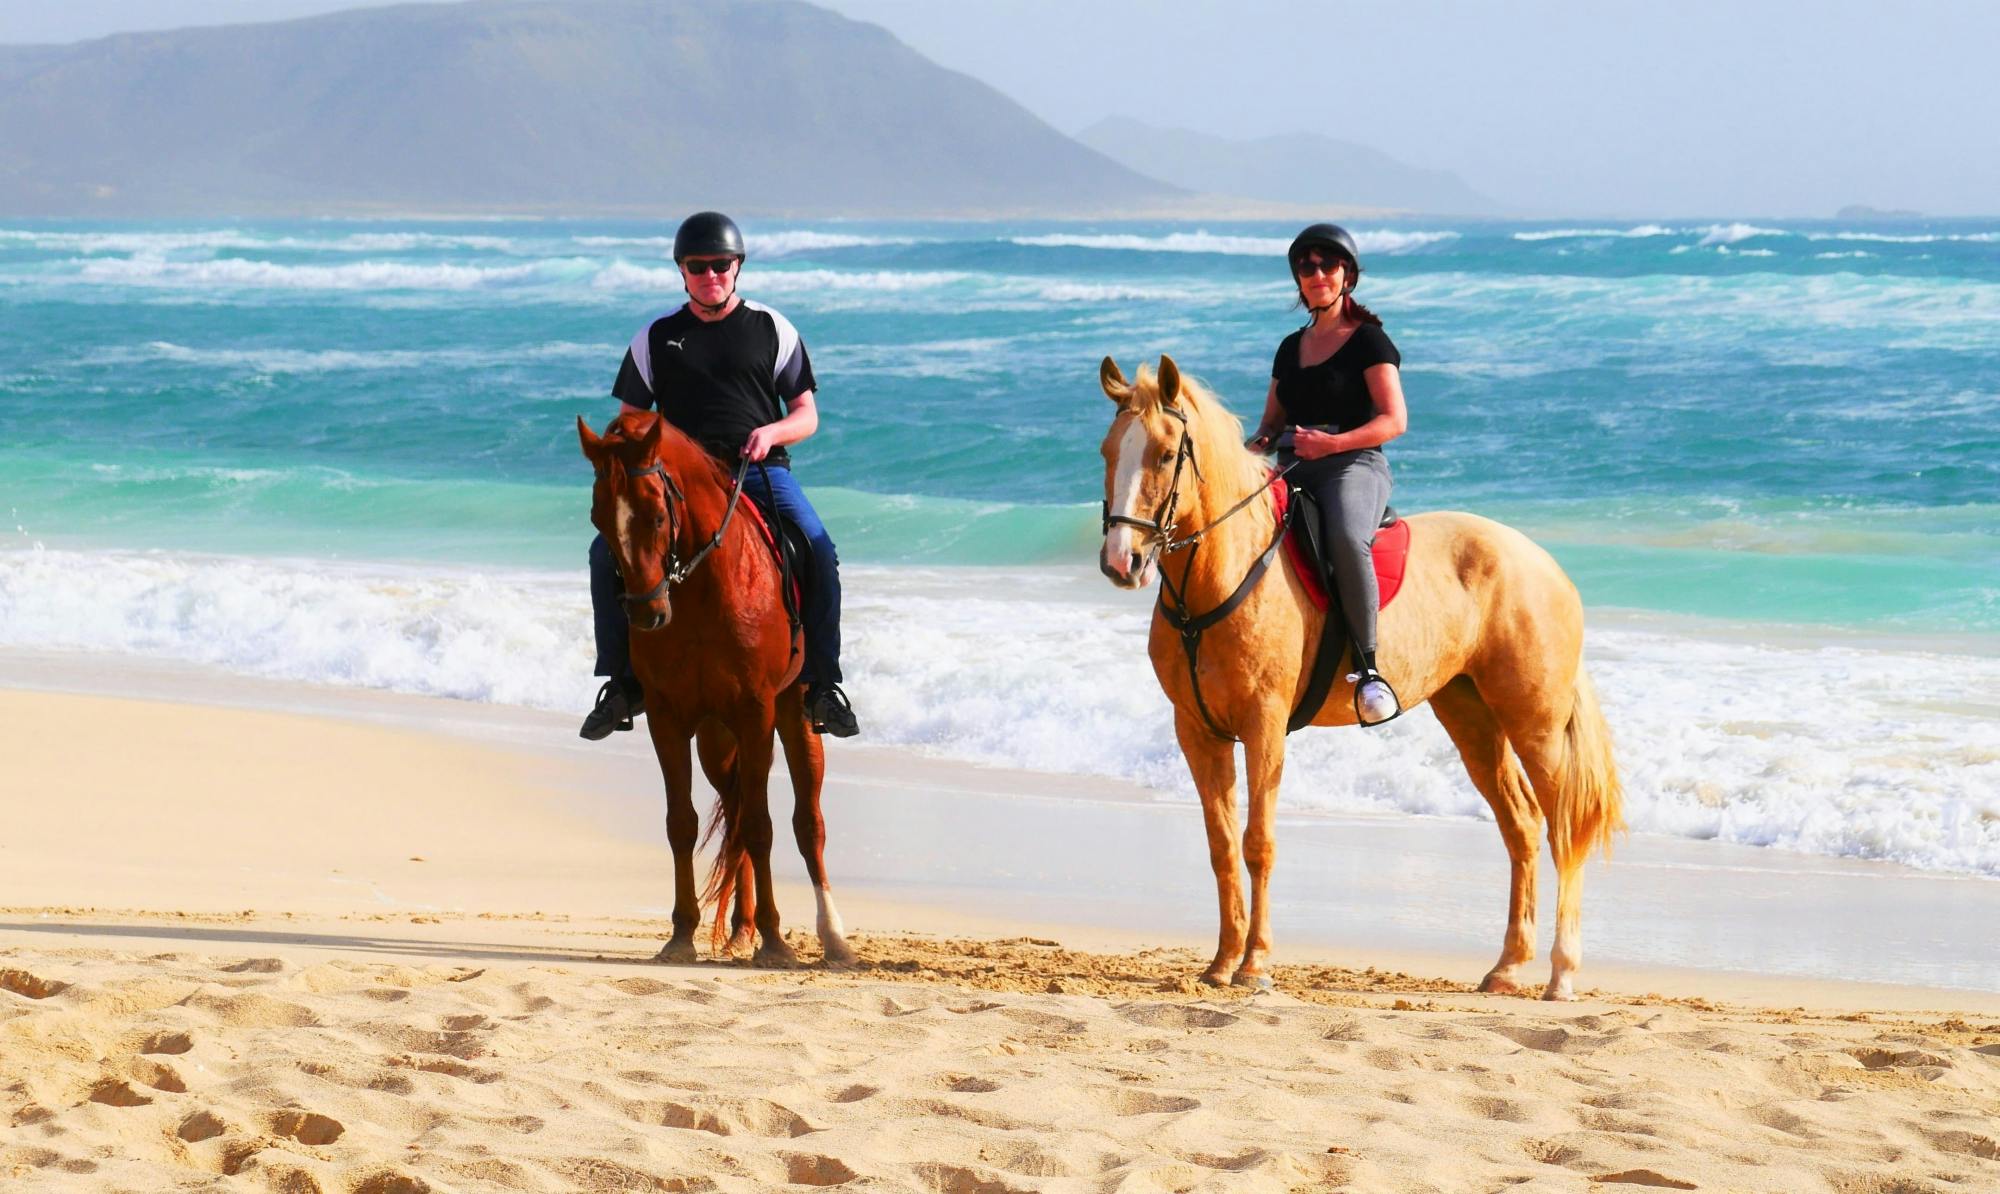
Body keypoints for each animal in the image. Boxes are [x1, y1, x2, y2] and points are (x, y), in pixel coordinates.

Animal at [584, 410, 856, 968]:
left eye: (657, 517)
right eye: (599, 520)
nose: (646, 614)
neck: (701, 590)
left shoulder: (756, 714)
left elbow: (763, 825)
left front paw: (775, 942)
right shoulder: (667, 718)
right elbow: (682, 824)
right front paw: (682, 935)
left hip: (791, 714)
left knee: (806, 823)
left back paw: (831, 935)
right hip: (715, 737)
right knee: (734, 812)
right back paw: (740, 928)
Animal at [1096, 354, 1624, 996]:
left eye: (1166, 454)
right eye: (1107, 451)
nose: (1122, 562)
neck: (1219, 577)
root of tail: (1542, 562)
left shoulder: (1264, 727)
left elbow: (1257, 843)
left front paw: (1255, 964)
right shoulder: (1198, 732)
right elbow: (1221, 846)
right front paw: (1221, 963)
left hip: (1535, 722)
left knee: (1561, 827)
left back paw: (1562, 972)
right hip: (1470, 716)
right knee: (1520, 824)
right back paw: (1505, 968)